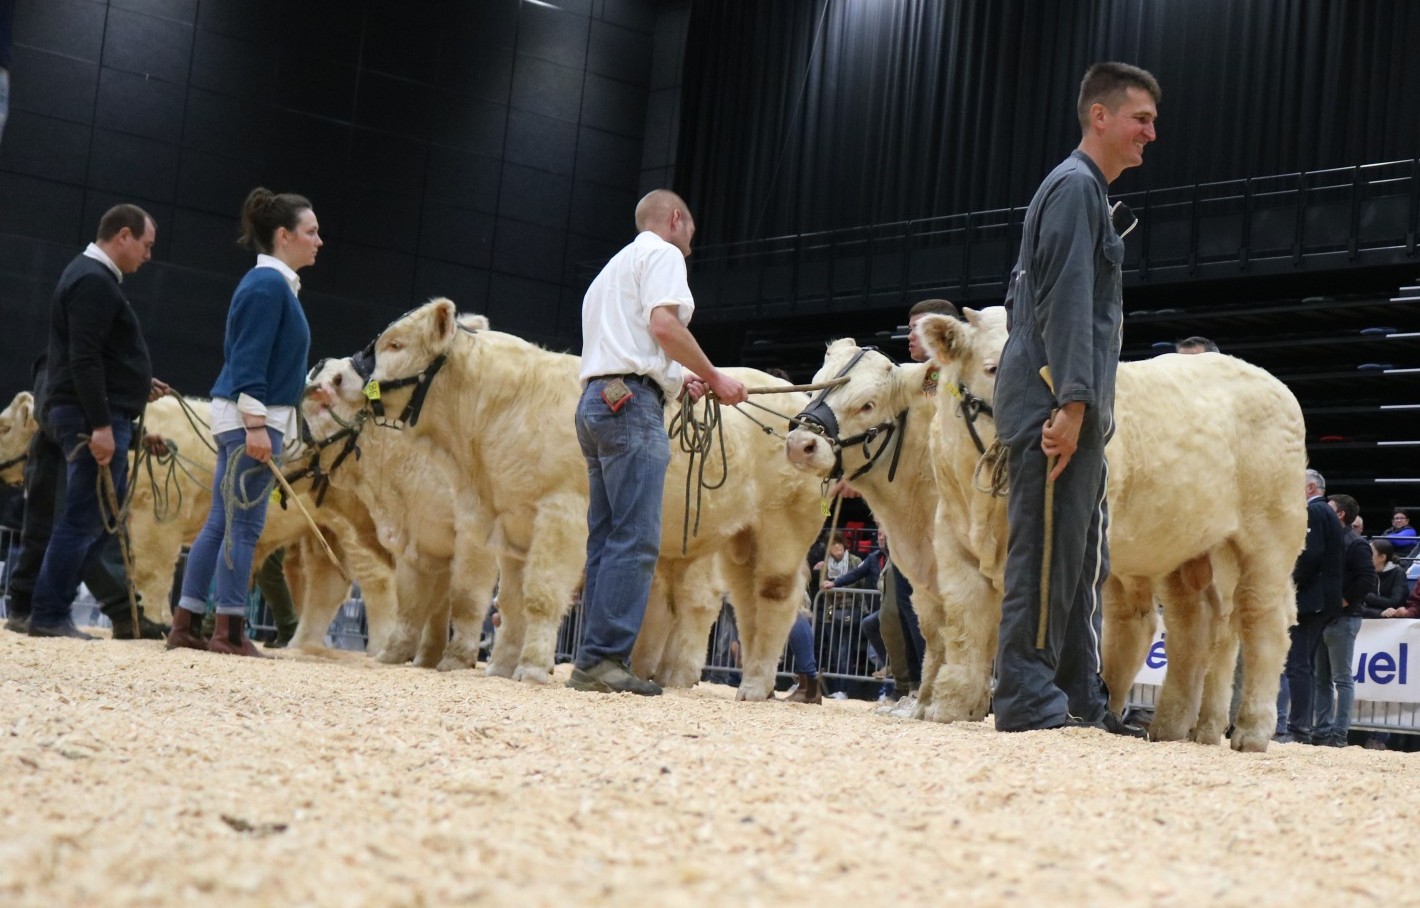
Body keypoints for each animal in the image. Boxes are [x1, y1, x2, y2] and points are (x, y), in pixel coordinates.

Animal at [355, 298, 823, 696]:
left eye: (395, 344)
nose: (357, 382)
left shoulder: (561, 511)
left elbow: (540, 594)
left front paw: (531, 668)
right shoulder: (511, 523)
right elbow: (510, 603)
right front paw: (502, 665)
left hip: (783, 528)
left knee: (776, 599)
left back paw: (752, 684)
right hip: (728, 541)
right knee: (735, 604)